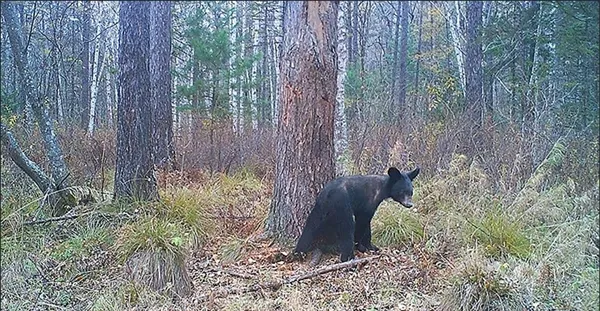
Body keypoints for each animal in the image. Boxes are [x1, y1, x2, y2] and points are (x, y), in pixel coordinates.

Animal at [292, 166, 420, 264]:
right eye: (402, 191)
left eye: (411, 192)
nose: (409, 204)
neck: (382, 188)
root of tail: (328, 194)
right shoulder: (368, 202)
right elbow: (363, 222)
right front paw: (362, 246)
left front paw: (371, 246)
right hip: (342, 205)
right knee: (347, 228)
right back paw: (348, 257)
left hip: (318, 208)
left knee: (310, 227)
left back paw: (298, 252)